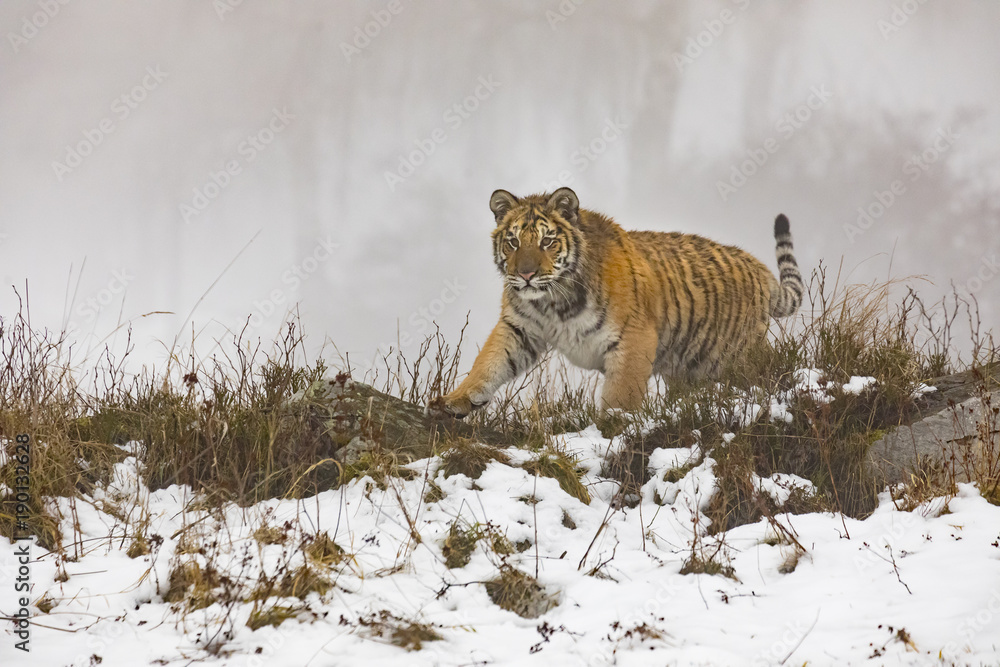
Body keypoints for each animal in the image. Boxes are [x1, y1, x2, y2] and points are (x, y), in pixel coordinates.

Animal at [428, 187, 803, 417]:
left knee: (773, 371)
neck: (552, 301)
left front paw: (610, 426)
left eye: (547, 241)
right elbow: (488, 363)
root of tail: (760, 270)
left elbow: (621, 395)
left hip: (737, 357)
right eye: (513, 241)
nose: (526, 275)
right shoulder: (519, 329)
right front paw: (454, 400)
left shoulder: (633, 338)